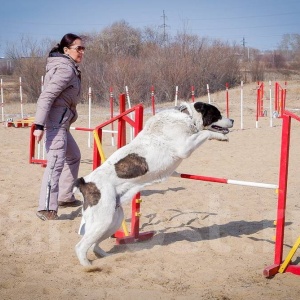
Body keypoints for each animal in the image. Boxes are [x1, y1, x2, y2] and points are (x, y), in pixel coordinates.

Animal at [74, 102, 233, 266]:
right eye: (217, 114)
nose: (232, 120)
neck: (187, 116)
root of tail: (85, 182)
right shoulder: (185, 147)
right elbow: (205, 133)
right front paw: (222, 136)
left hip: (113, 220)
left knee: (94, 244)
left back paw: (105, 257)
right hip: (103, 220)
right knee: (81, 246)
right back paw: (88, 266)